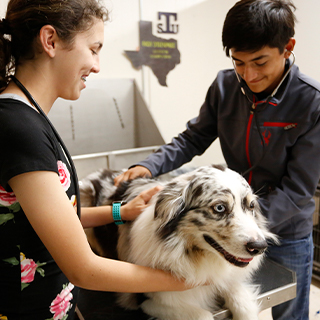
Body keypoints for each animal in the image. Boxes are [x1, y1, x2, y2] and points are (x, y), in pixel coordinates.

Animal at [79, 165, 276, 320]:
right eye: (219, 208)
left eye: (251, 206)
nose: (259, 247)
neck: (197, 255)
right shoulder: (146, 299)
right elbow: (202, 315)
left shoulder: (225, 279)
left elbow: (244, 306)